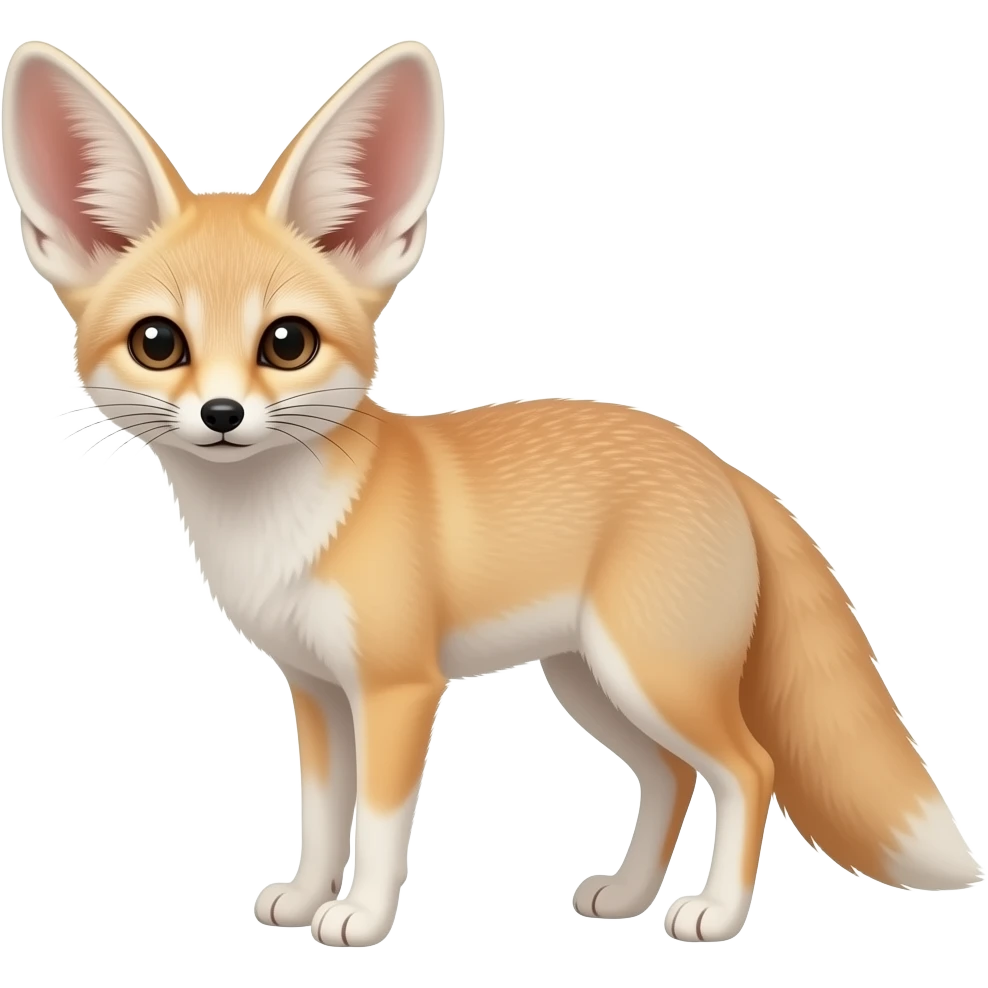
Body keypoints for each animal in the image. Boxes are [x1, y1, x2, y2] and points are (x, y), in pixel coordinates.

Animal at [5, 38, 982, 948]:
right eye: (158, 343)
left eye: (286, 343)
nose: (221, 415)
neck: (283, 531)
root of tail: (719, 464)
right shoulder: (316, 692)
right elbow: (320, 818)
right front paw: (303, 898)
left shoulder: (399, 687)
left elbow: (379, 825)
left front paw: (362, 918)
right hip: (591, 682)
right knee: (669, 777)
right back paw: (628, 896)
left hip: (652, 677)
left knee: (749, 768)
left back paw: (714, 913)